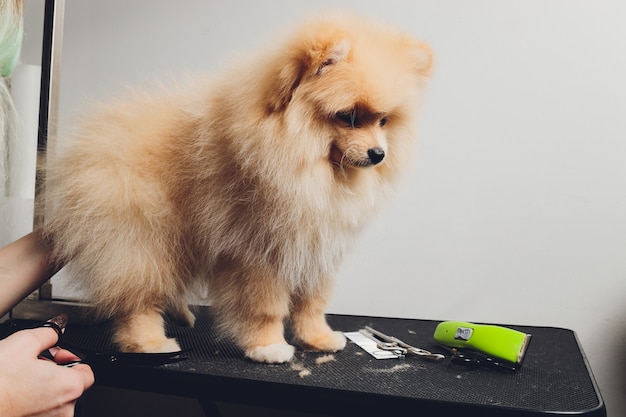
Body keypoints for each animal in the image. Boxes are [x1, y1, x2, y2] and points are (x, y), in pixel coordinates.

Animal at [44, 14, 432, 362]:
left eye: (384, 121)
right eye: (349, 116)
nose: (379, 154)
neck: (311, 171)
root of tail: (94, 139)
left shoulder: (314, 247)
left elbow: (312, 303)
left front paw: (317, 338)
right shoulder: (260, 252)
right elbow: (265, 307)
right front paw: (268, 346)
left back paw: (181, 314)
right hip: (142, 239)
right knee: (138, 297)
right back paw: (149, 342)